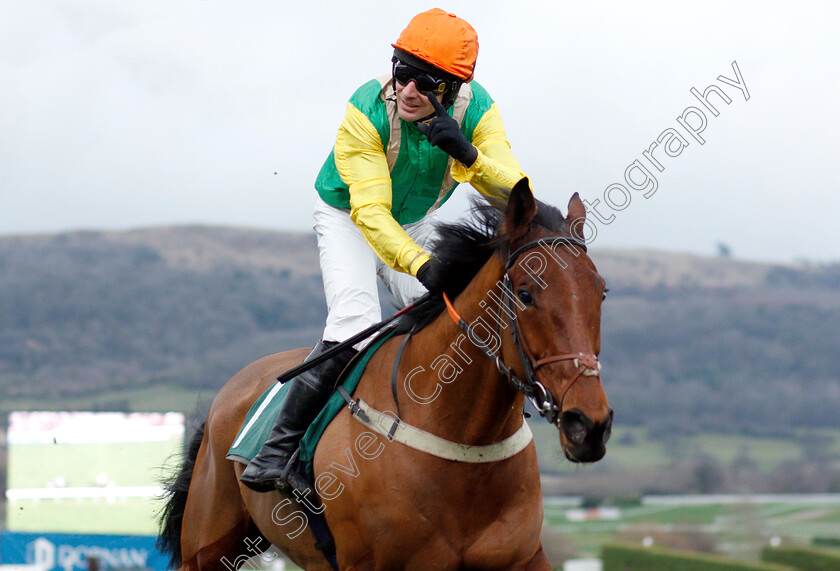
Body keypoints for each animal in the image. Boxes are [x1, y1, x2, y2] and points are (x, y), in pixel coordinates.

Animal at [161, 180, 612, 571]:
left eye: (601, 292)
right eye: (525, 293)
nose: (588, 424)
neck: (463, 441)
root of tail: (231, 389)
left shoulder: (524, 557)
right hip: (206, 548)